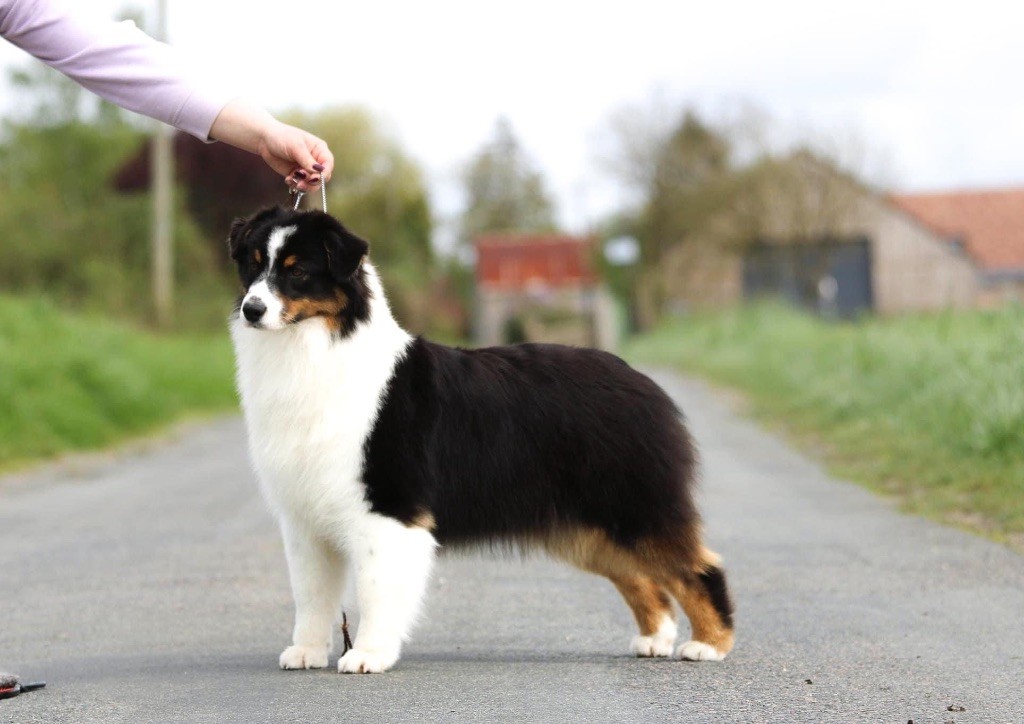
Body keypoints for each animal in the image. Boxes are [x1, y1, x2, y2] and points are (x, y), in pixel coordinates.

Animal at [228, 203, 733, 675]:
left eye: (297, 270)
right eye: (252, 264)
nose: (252, 310)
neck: (315, 348)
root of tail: (642, 381)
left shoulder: (387, 509)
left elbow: (375, 590)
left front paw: (369, 655)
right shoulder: (304, 516)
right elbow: (311, 594)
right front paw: (308, 652)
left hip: (637, 506)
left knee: (699, 568)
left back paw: (709, 645)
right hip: (589, 528)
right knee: (642, 579)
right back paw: (655, 638)